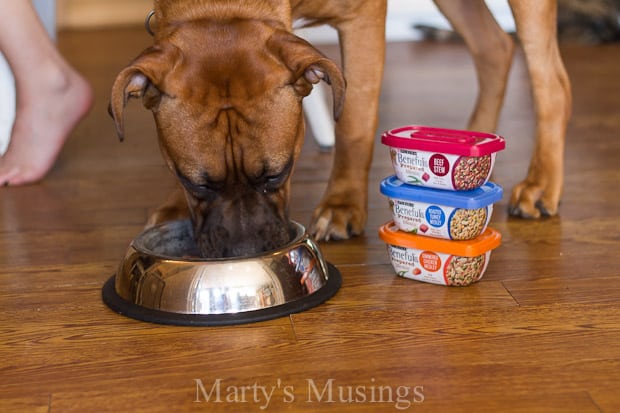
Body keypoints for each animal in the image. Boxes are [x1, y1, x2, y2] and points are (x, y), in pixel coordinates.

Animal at [110, 0, 572, 258]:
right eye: (196, 184)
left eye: (278, 174)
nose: (245, 253)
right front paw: (174, 206)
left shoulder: (361, 20)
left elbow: (354, 121)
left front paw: (343, 205)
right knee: (494, 47)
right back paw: (473, 141)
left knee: (550, 81)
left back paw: (541, 183)